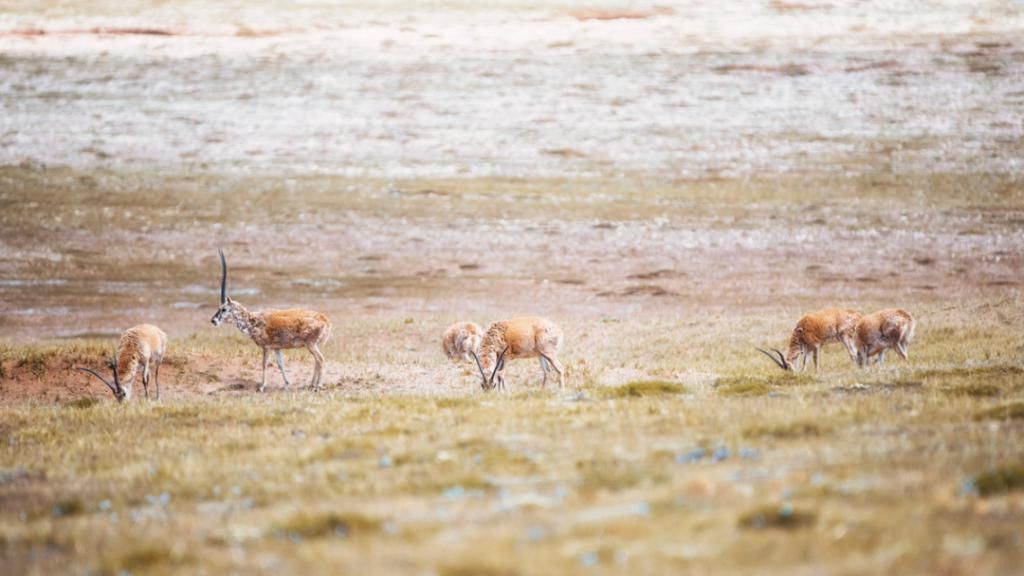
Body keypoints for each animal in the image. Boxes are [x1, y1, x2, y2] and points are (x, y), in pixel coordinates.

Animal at [208, 248, 331, 389]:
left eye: (223, 309)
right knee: (317, 360)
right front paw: (287, 384)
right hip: (314, 345)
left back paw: (318, 385)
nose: (213, 320)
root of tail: (325, 319)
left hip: (311, 344)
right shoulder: (276, 348)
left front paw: (262, 386)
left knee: (320, 359)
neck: (253, 320)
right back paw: (311, 384)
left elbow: (264, 364)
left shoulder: (266, 347)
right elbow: (280, 364)